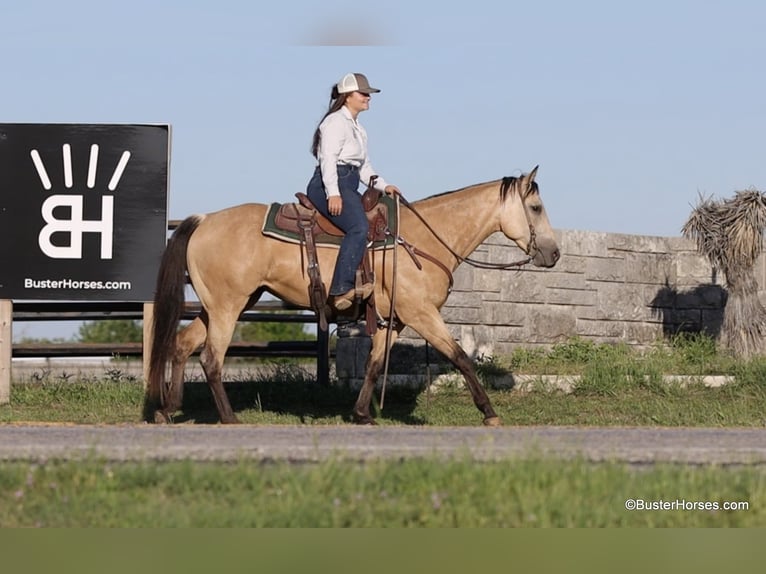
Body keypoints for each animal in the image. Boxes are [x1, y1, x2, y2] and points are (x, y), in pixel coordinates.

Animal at [145, 166, 560, 426]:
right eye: (535, 207)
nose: (553, 253)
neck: (421, 240)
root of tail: (204, 220)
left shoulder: (395, 321)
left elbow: (374, 365)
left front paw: (362, 414)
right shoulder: (422, 314)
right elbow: (460, 358)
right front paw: (489, 412)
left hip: (221, 305)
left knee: (182, 345)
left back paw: (168, 409)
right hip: (228, 307)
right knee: (211, 359)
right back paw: (229, 417)